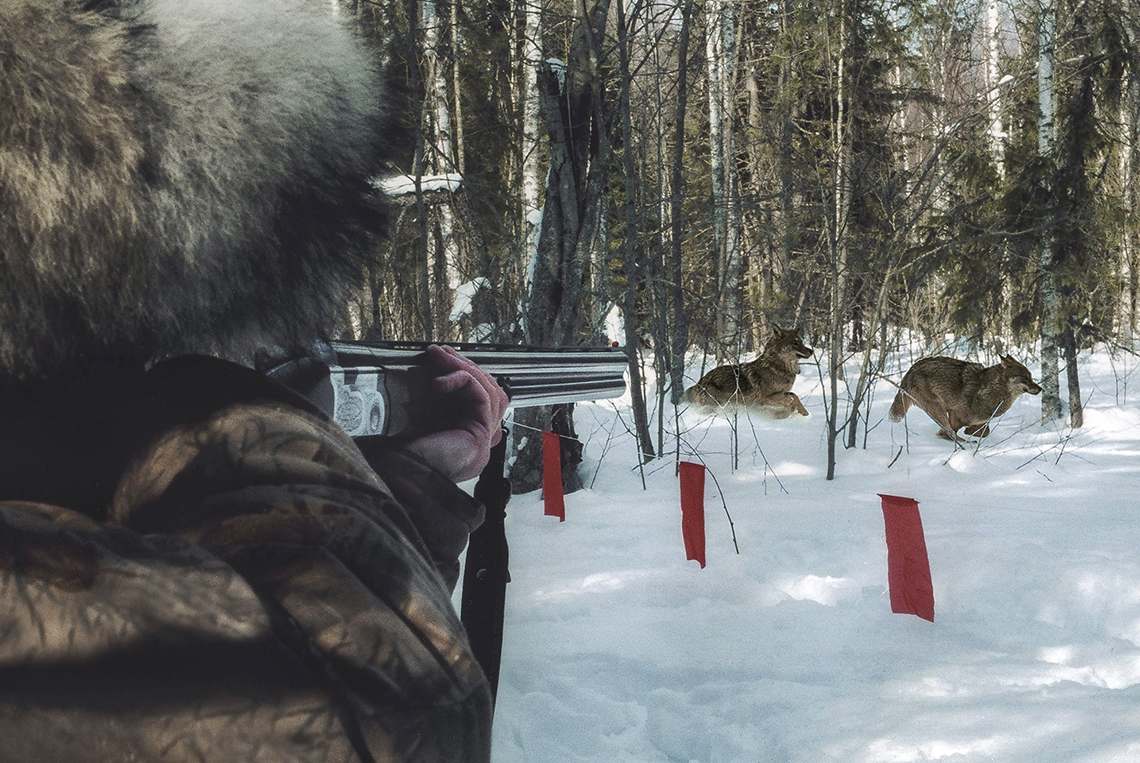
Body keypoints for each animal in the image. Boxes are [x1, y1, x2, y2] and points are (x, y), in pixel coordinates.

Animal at [679, 326, 816, 417]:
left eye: (801, 342)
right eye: (795, 343)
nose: (811, 351)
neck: (778, 367)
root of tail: (699, 383)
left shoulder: (781, 393)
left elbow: (794, 395)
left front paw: (802, 412)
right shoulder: (765, 398)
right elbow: (791, 398)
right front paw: (790, 411)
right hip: (714, 406)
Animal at [889, 353, 1044, 437]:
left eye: (1031, 377)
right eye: (1025, 378)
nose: (1040, 389)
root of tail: (911, 369)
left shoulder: (981, 422)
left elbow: (984, 432)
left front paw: (970, 433)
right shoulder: (955, 415)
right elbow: (946, 434)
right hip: (938, 409)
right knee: (948, 433)